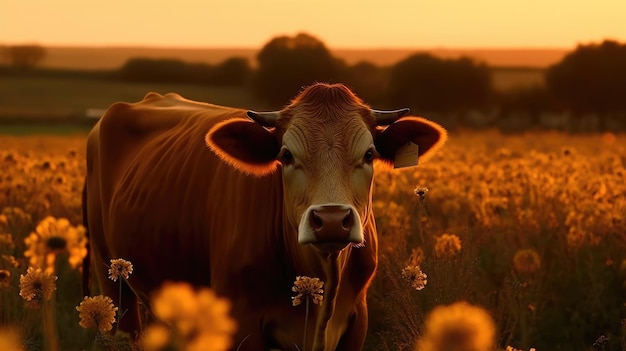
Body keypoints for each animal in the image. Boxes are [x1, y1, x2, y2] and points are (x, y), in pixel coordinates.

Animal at [83, 84, 446, 350]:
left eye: (369, 154)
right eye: (286, 155)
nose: (331, 220)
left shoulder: (357, 321)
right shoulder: (241, 323)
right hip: (110, 276)